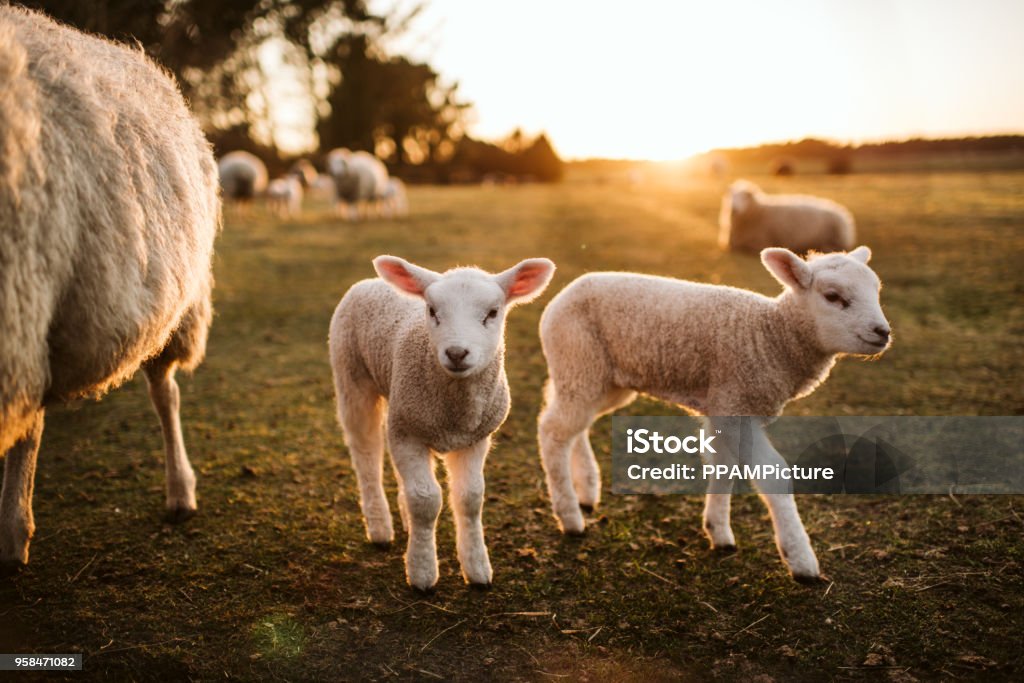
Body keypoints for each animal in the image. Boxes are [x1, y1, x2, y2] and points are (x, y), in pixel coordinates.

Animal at [329, 256, 555, 590]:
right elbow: (425, 500)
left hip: (399, 404)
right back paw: (380, 527)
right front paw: (422, 571)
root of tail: (371, 281)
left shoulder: (474, 437)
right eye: (432, 311)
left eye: (492, 312)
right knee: (366, 453)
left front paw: (477, 568)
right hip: (352, 378)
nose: (457, 353)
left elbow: (469, 498)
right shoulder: (409, 433)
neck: (455, 413)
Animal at [536, 247, 891, 581]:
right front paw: (801, 560)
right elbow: (773, 475)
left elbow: (724, 466)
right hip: (578, 359)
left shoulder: (726, 408)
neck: (771, 336)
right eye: (832, 296)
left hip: (601, 378)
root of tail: (567, 291)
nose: (883, 332)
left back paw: (586, 490)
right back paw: (570, 516)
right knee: (553, 430)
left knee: (575, 425)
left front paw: (718, 531)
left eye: (876, 290)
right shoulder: (734, 404)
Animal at [719, 180, 856, 254]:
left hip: (834, 239)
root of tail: (843, 213)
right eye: (731, 196)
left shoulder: (760, 242)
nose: (733, 209)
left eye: (744, 197)